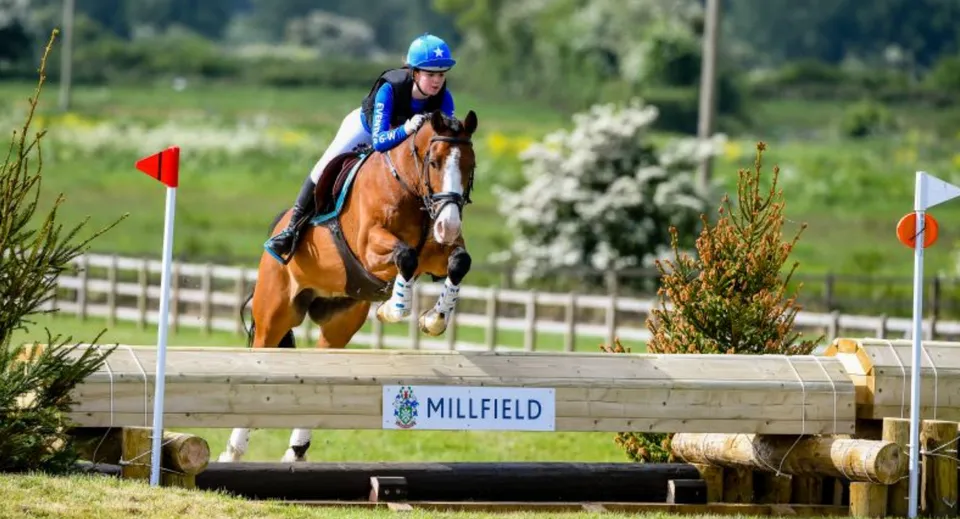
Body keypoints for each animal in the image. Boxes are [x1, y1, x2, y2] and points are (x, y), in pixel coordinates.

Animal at [217, 109, 479, 463]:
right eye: (435, 162)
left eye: (470, 165)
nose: (449, 225)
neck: (408, 185)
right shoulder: (370, 247)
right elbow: (406, 257)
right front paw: (393, 308)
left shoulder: (437, 251)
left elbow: (458, 262)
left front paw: (434, 319)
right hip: (275, 314)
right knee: (261, 356)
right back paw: (233, 452)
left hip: (340, 320)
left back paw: (295, 453)